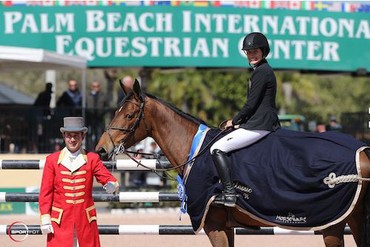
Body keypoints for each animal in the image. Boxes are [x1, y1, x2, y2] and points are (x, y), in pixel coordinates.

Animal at [95, 79, 370, 247]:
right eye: (116, 112)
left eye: (129, 115)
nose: (101, 149)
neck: (195, 148)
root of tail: (361, 150)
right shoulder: (225, 226)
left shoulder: (214, 223)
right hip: (355, 219)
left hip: (333, 224)